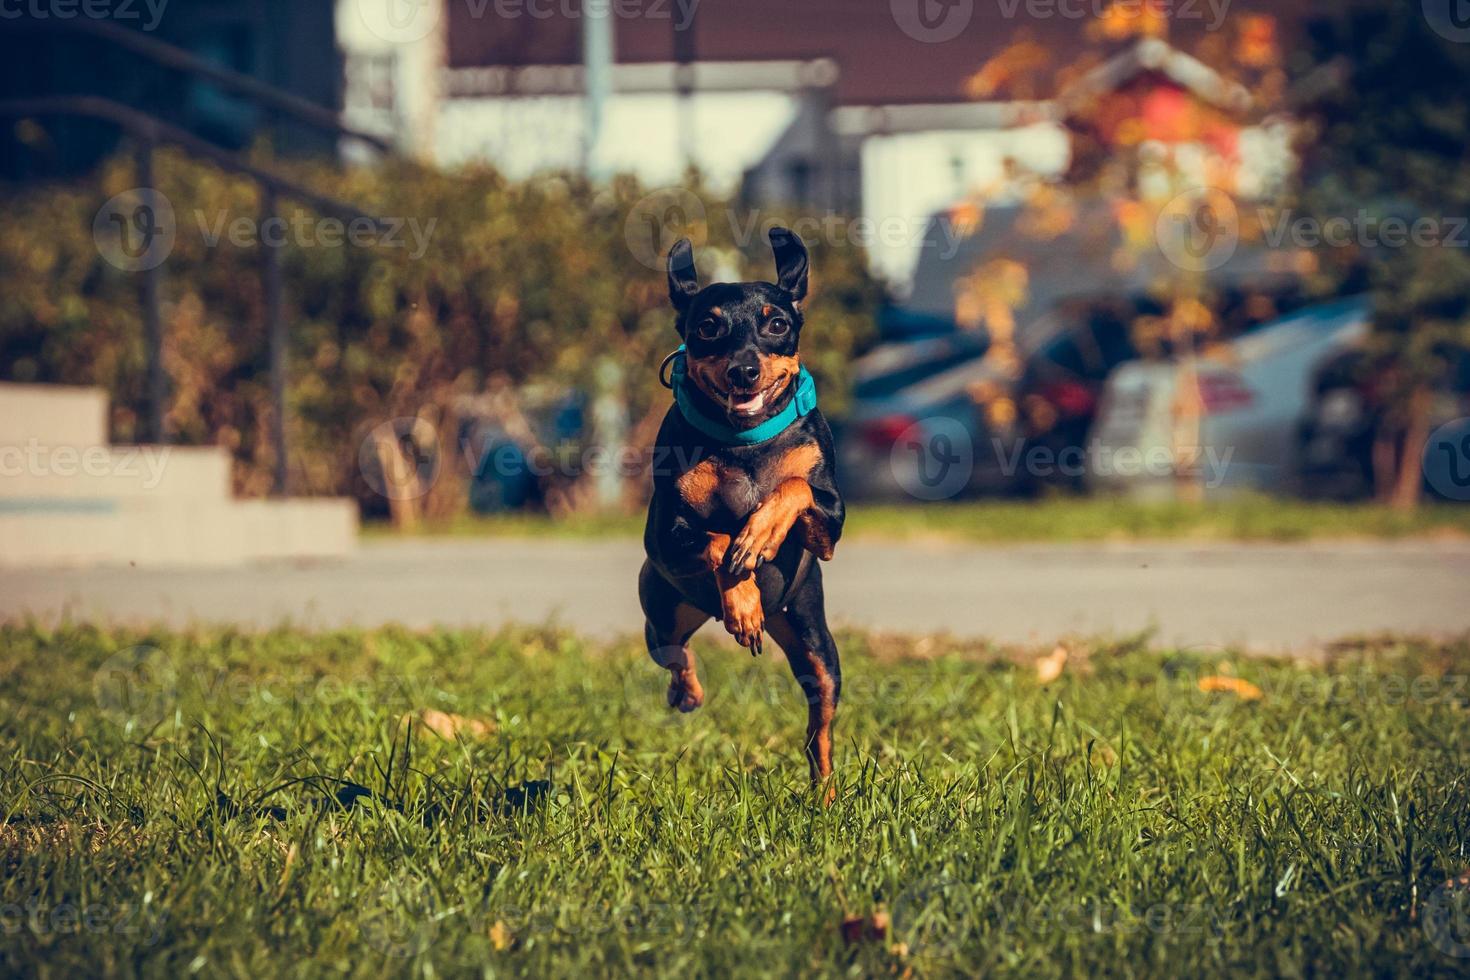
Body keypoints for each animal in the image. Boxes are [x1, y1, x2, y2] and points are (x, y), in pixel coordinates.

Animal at [637, 226, 846, 793]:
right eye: (708, 327)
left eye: (777, 324)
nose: (744, 370)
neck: (744, 442)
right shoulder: (665, 537)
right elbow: (715, 541)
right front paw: (743, 596)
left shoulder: (831, 522)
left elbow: (794, 484)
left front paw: (760, 535)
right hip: (663, 611)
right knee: (674, 654)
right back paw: (689, 688)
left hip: (816, 645)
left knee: (818, 733)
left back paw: (825, 793)